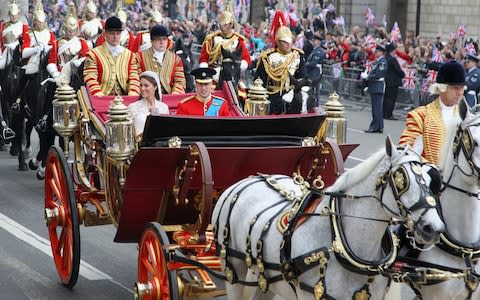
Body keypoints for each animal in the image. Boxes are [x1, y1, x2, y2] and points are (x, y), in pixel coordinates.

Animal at [212, 137, 444, 298]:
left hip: (267, 280)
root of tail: (245, 180)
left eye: (430, 180)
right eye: (401, 179)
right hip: (234, 268)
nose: (434, 228)